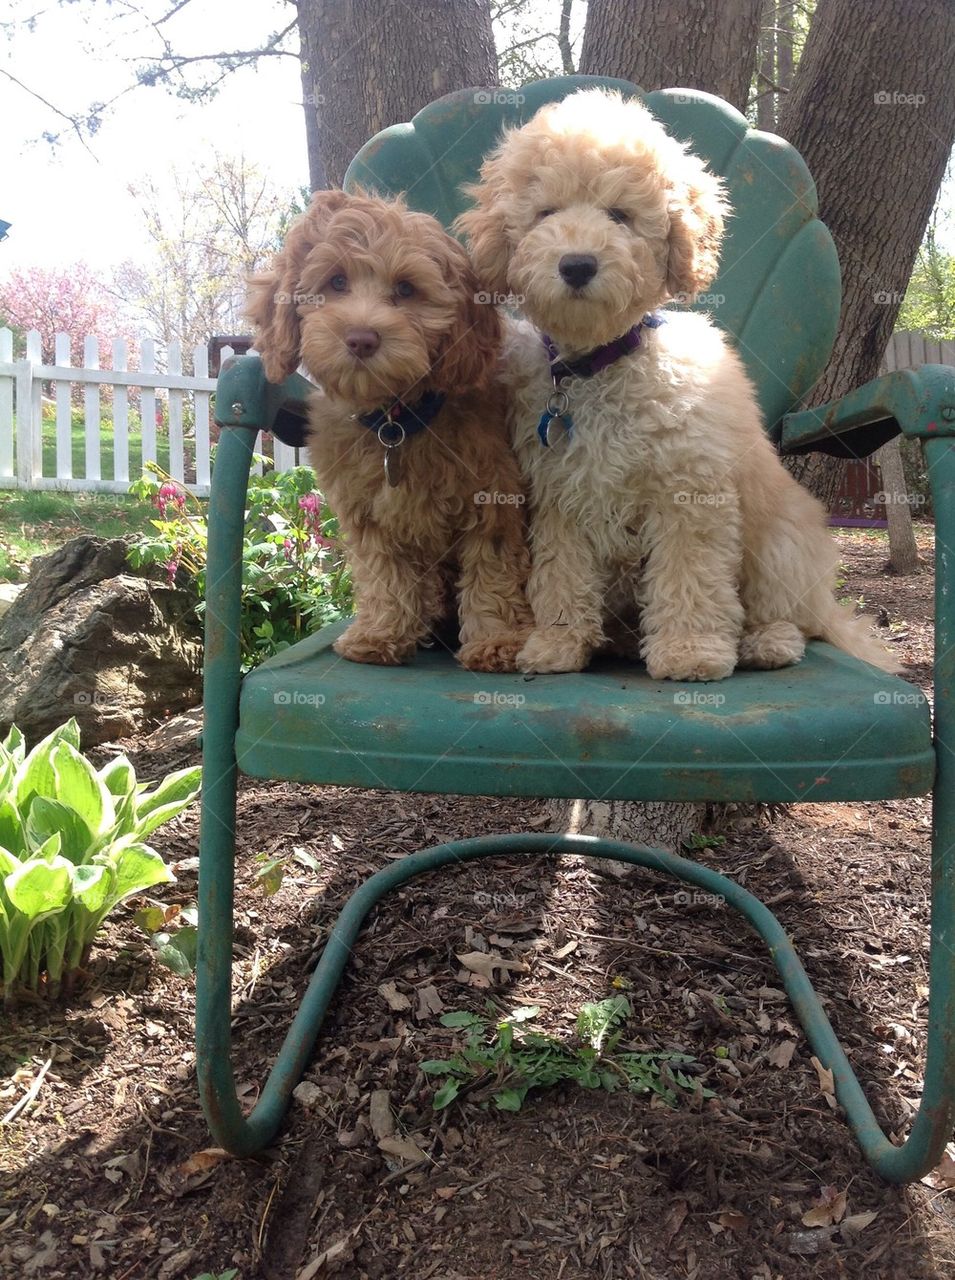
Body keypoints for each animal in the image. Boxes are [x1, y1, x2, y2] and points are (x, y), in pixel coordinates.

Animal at [245, 192, 527, 670]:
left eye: (407, 289)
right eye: (337, 281)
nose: (362, 338)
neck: (396, 421)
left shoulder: (493, 498)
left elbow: (493, 569)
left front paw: (497, 640)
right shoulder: (368, 514)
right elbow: (385, 575)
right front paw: (380, 634)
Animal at [458, 90, 890, 680]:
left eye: (619, 214)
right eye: (546, 214)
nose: (577, 264)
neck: (599, 366)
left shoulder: (688, 493)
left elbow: (690, 574)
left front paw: (690, 651)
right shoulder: (559, 500)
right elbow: (562, 572)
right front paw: (558, 642)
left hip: (779, 543)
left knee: (790, 616)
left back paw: (766, 642)